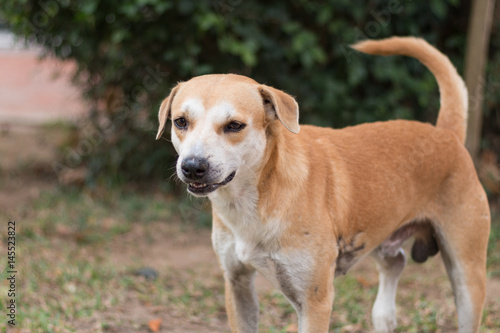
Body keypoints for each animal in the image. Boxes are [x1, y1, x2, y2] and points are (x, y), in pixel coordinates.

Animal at [155, 37, 488, 332]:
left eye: (234, 125)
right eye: (180, 121)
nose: (193, 167)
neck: (259, 199)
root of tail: (445, 134)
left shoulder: (314, 302)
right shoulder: (237, 285)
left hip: (467, 277)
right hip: (381, 234)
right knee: (394, 265)